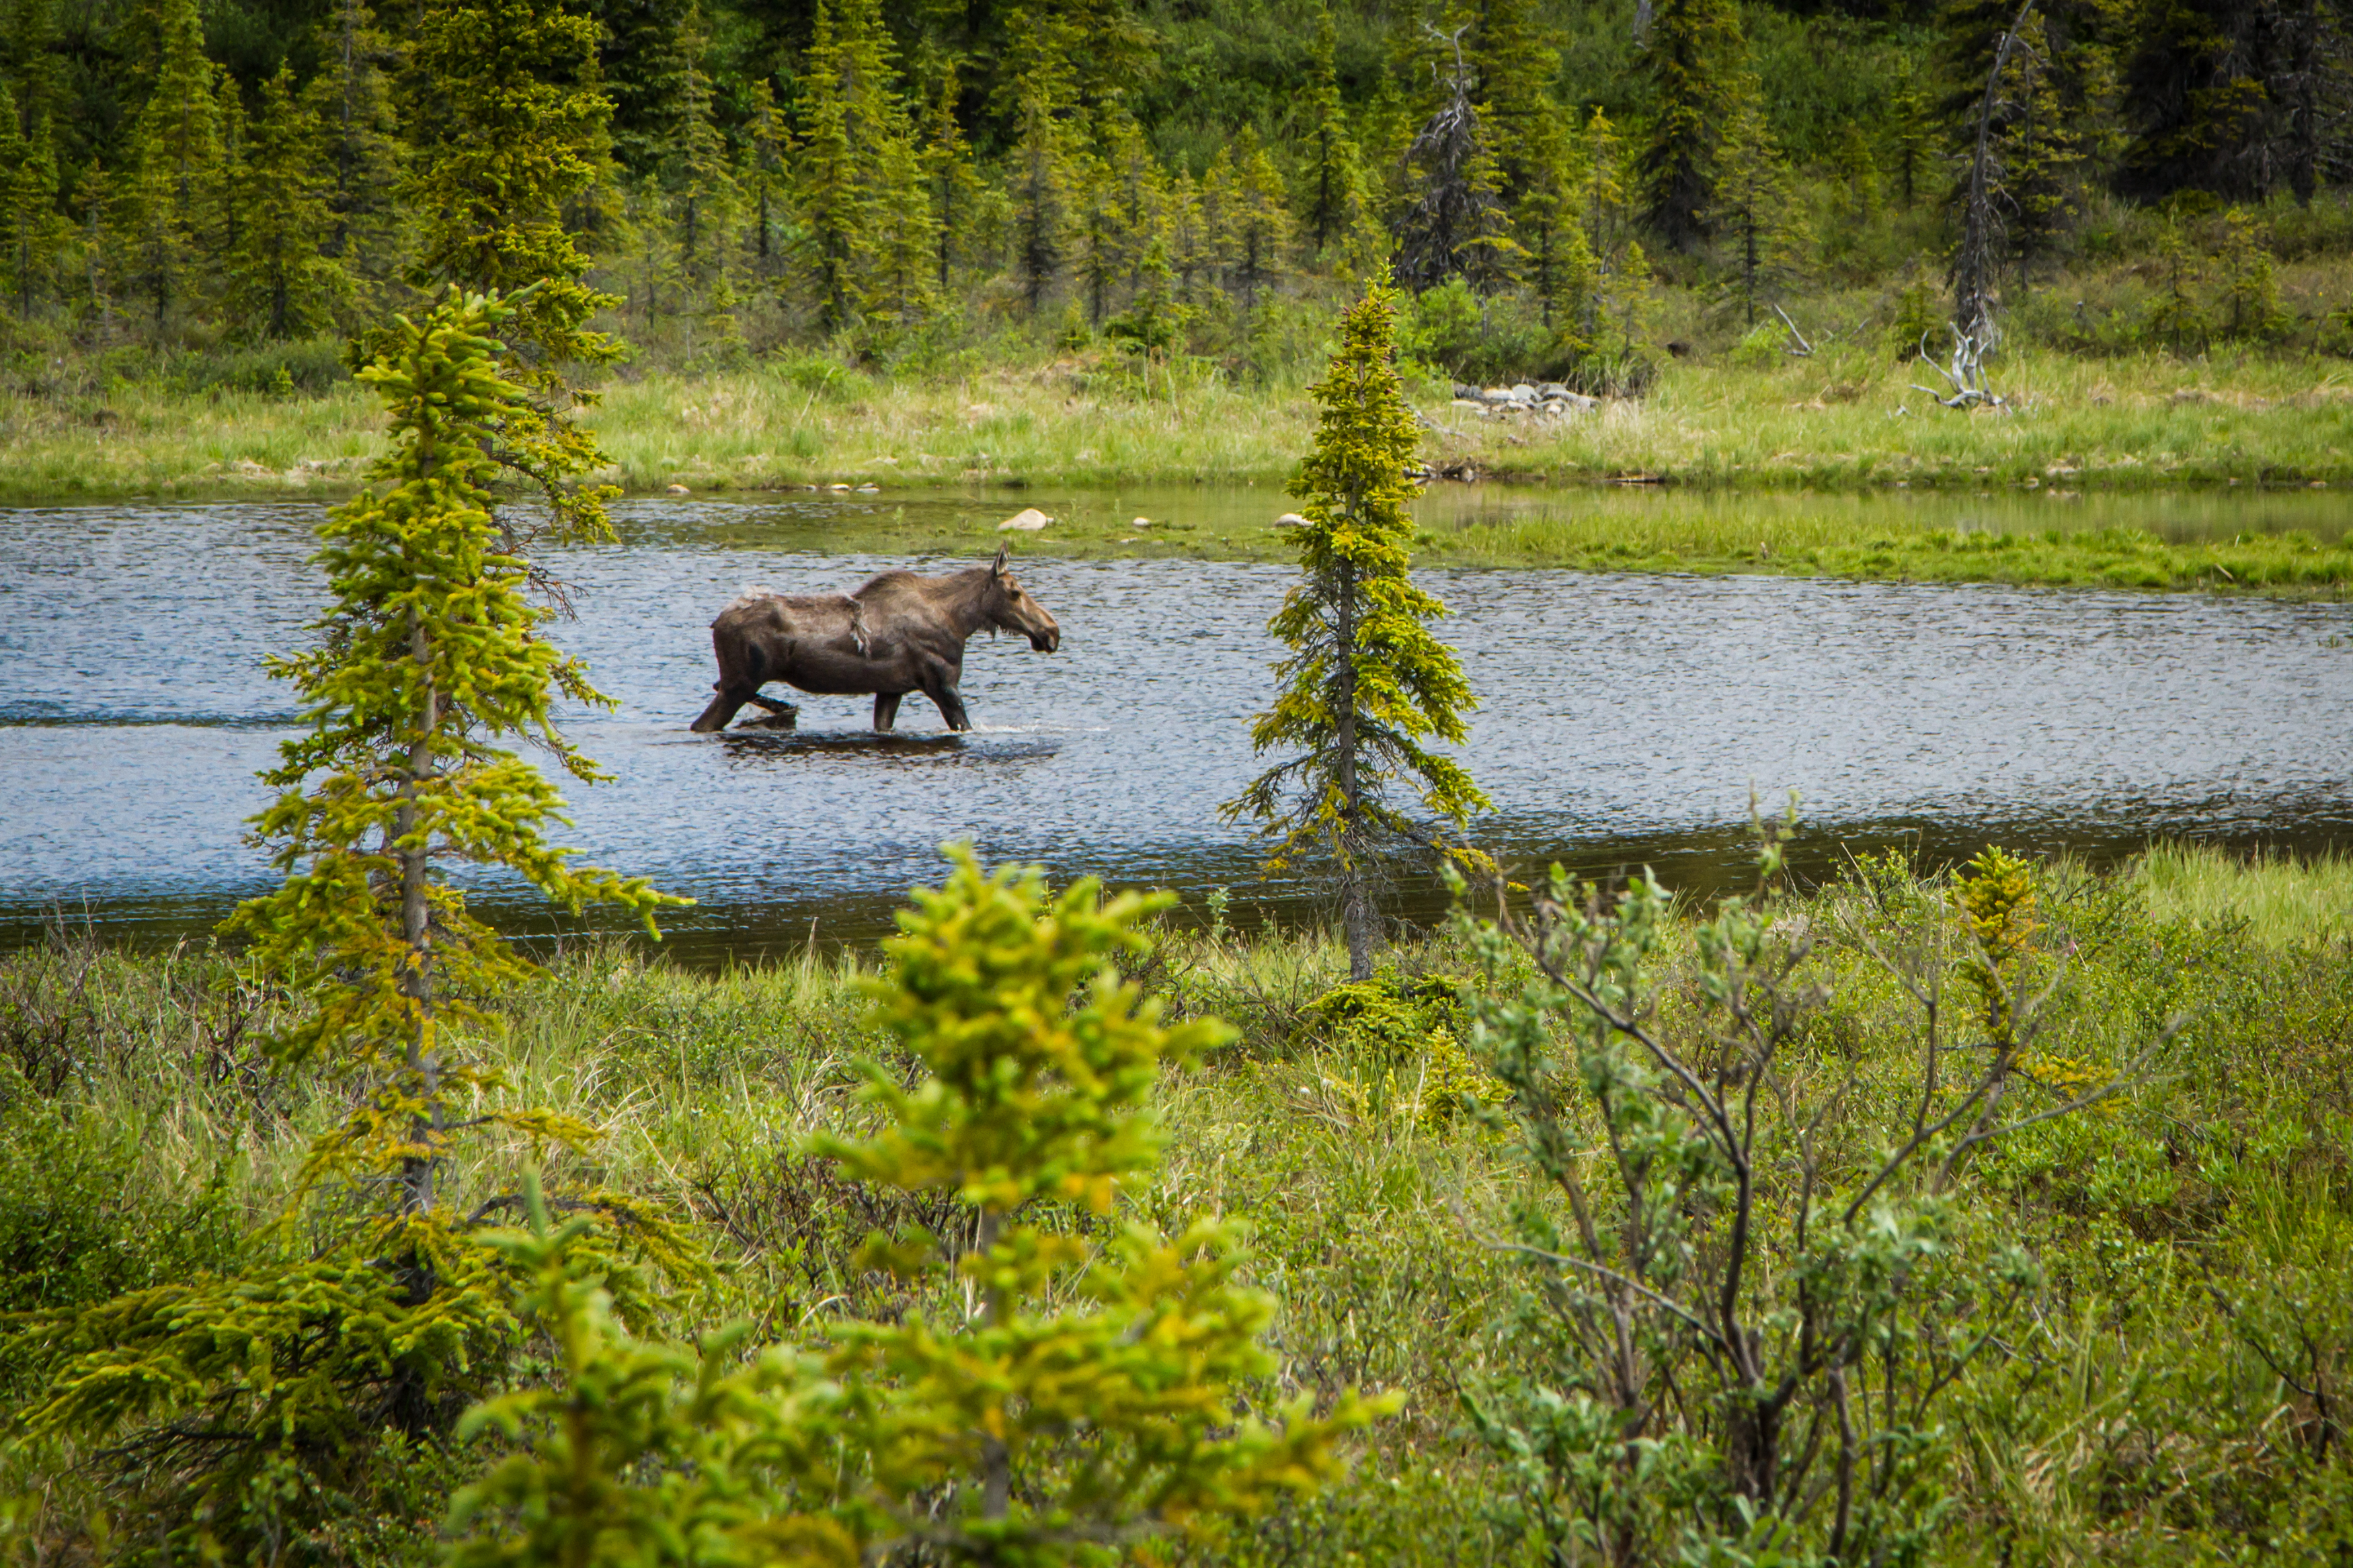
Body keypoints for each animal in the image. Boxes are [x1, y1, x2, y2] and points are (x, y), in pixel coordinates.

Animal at [687, 545, 1064, 738]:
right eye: (1015, 592)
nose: (1052, 632)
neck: (961, 622)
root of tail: (715, 623)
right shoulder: (944, 684)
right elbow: (964, 725)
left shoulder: (891, 689)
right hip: (740, 683)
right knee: (701, 724)